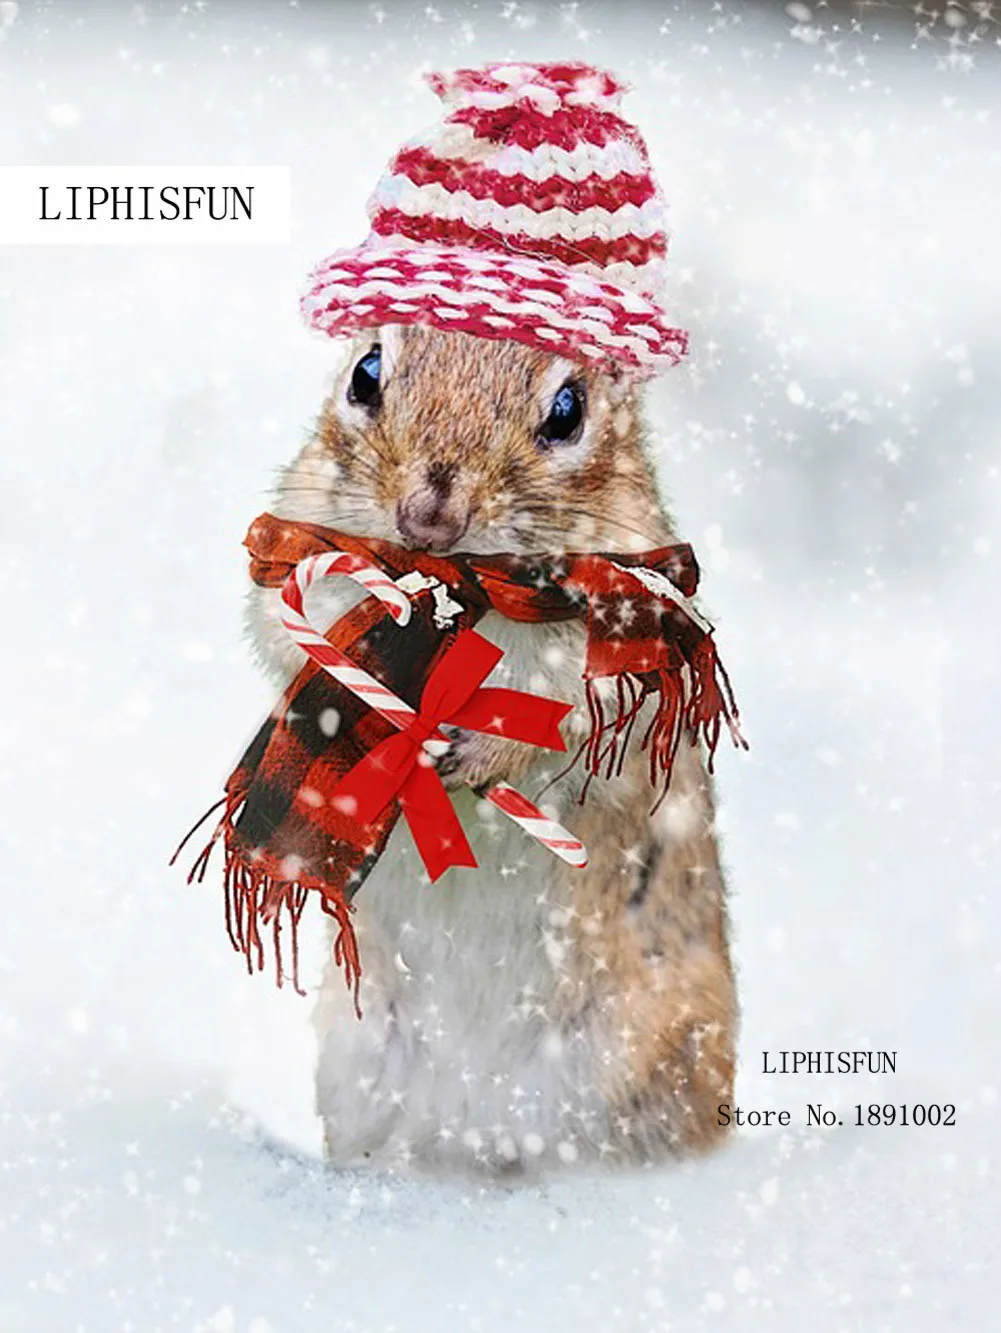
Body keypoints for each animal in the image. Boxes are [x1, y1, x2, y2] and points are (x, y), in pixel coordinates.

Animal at [246, 321, 737, 1172]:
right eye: (365, 372)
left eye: (568, 411)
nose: (428, 517)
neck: (454, 589)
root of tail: (479, 1130)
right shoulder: (297, 551)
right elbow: (294, 639)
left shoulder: (618, 637)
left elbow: (567, 719)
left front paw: (474, 753)